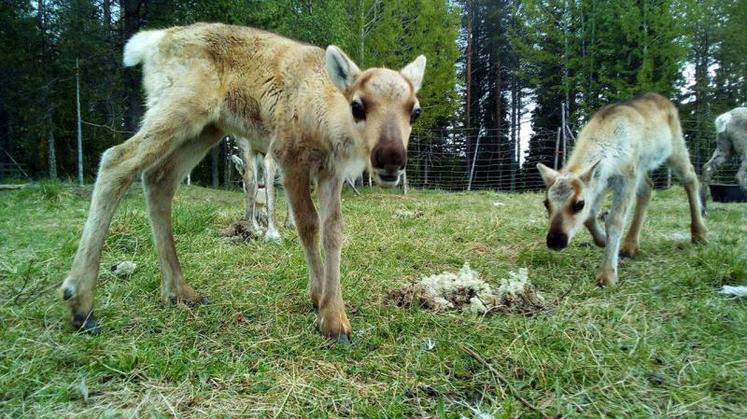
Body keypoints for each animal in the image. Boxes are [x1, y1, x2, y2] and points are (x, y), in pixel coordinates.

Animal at [59, 23, 426, 342]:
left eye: (415, 111)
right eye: (358, 105)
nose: (390, 158)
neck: (326, 120)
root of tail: (152, 43)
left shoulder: (330, 173)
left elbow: (333, 230)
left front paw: (335, 314)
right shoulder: (289, 157)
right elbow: (308, 225)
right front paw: (321, 303)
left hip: (206, 127)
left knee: (159, 178)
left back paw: (180, 291)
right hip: (179, 105)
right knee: (116, 160)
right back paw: (82, 304)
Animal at [536, 93, 708, 288]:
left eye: (579, 204)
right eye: (546, 203)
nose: (555, 240)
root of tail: (664, 99)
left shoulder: (626, 177)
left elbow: (615, 221)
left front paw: (607, 274)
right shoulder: (602, 182)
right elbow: (591, 215)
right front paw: (603, 240)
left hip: (675, 147)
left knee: (691, 177)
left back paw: (699, 233)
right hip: (642, 168)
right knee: (648, 187)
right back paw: (630, 245)